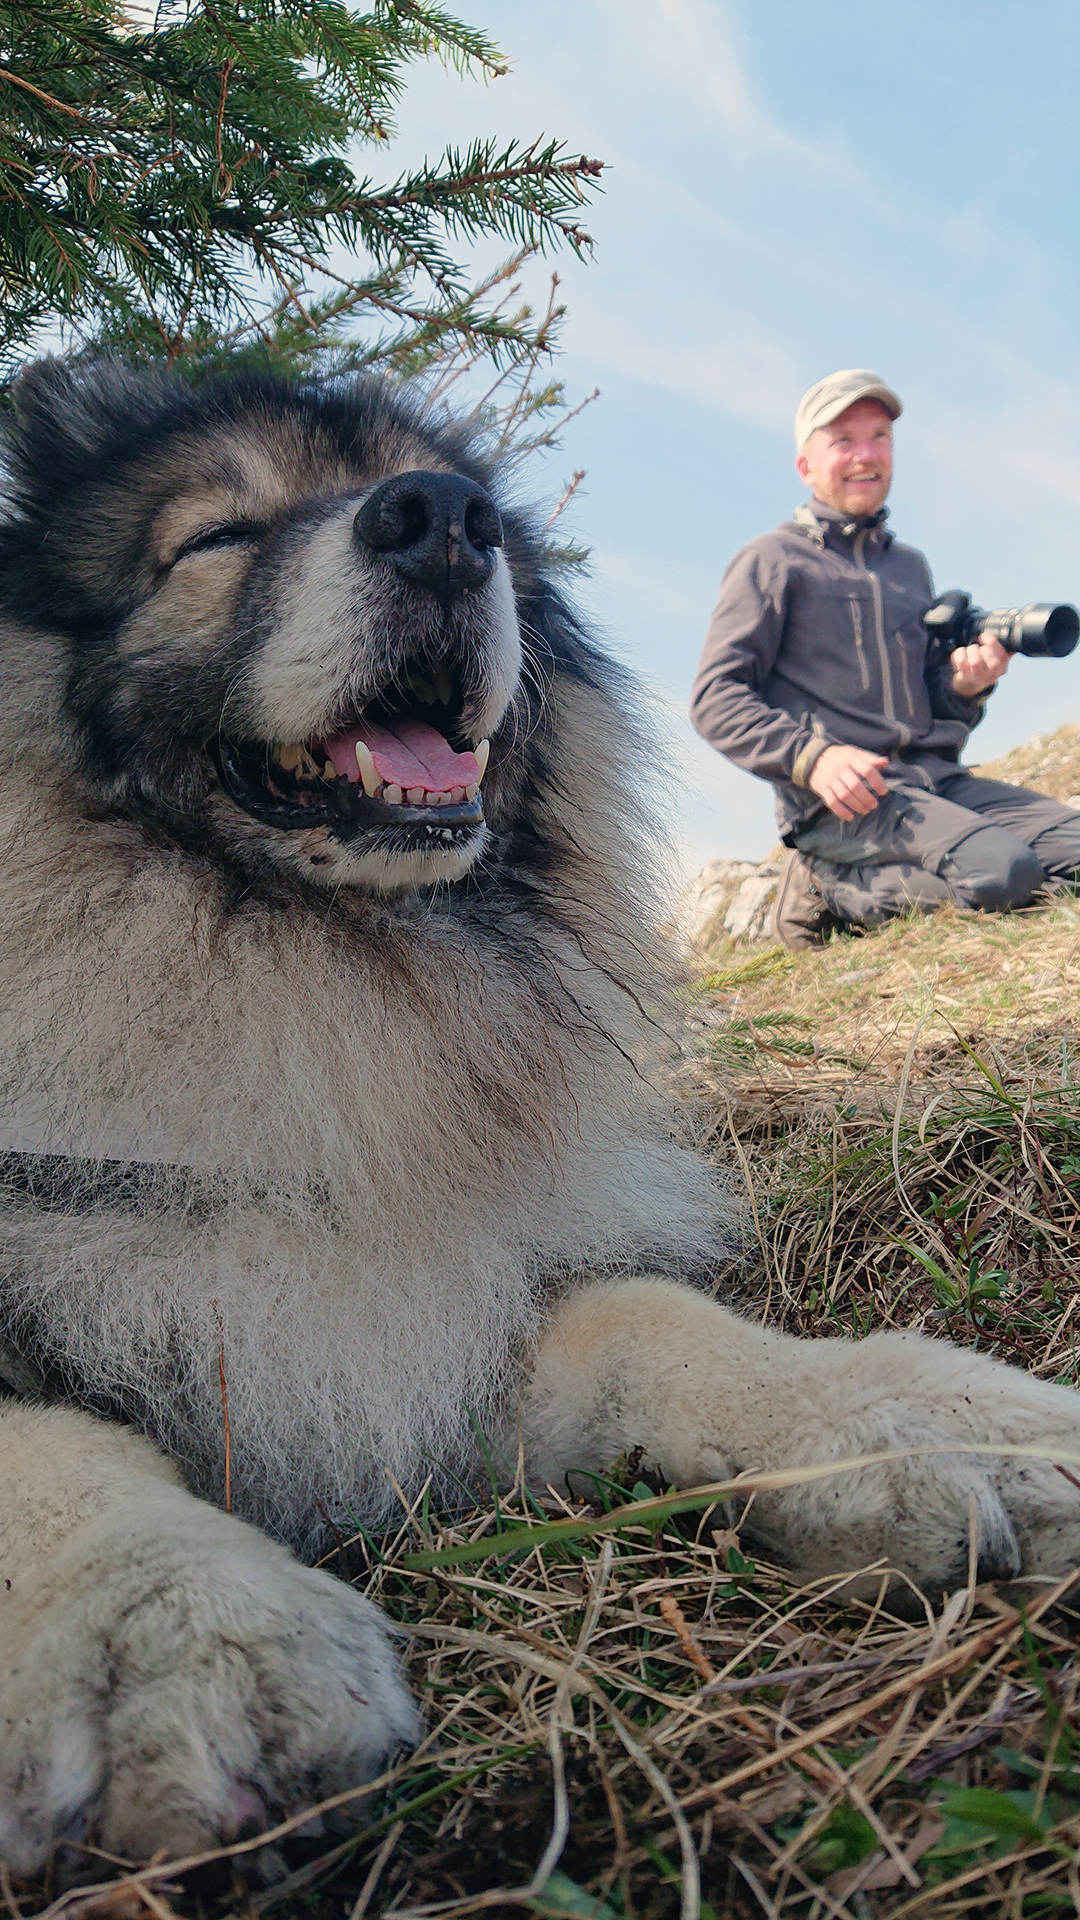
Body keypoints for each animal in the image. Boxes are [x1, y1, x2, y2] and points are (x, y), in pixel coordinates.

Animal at [2, 353, 1076, 1866]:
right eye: (215, 538)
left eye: (481, 517)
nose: (442, 523)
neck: (322, 987)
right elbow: (42, 1443)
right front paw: (169, 1616)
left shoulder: (429, 1306)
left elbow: (645, 1316)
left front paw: (894, 1412)